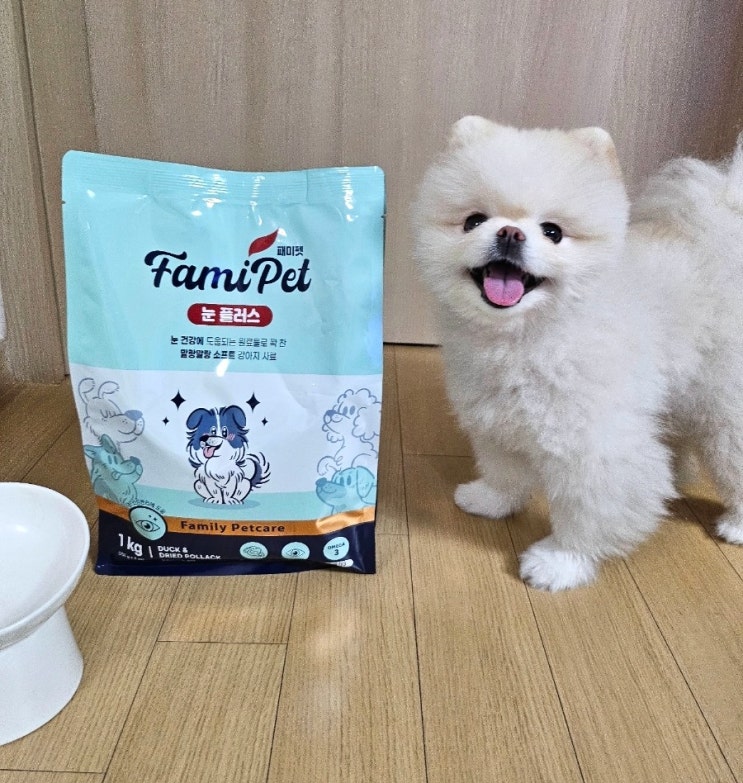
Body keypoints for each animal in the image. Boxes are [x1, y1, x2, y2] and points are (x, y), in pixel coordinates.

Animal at [414, 115, 743, 591]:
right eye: (474, 221)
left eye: (553, 232)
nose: (509, 232)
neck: (527, 337)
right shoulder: (496, 418)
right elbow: (503, 469)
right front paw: (491, 500)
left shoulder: (594, 444)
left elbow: (588, 509)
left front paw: (560, 562)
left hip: (723, 404)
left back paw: (736, 523)